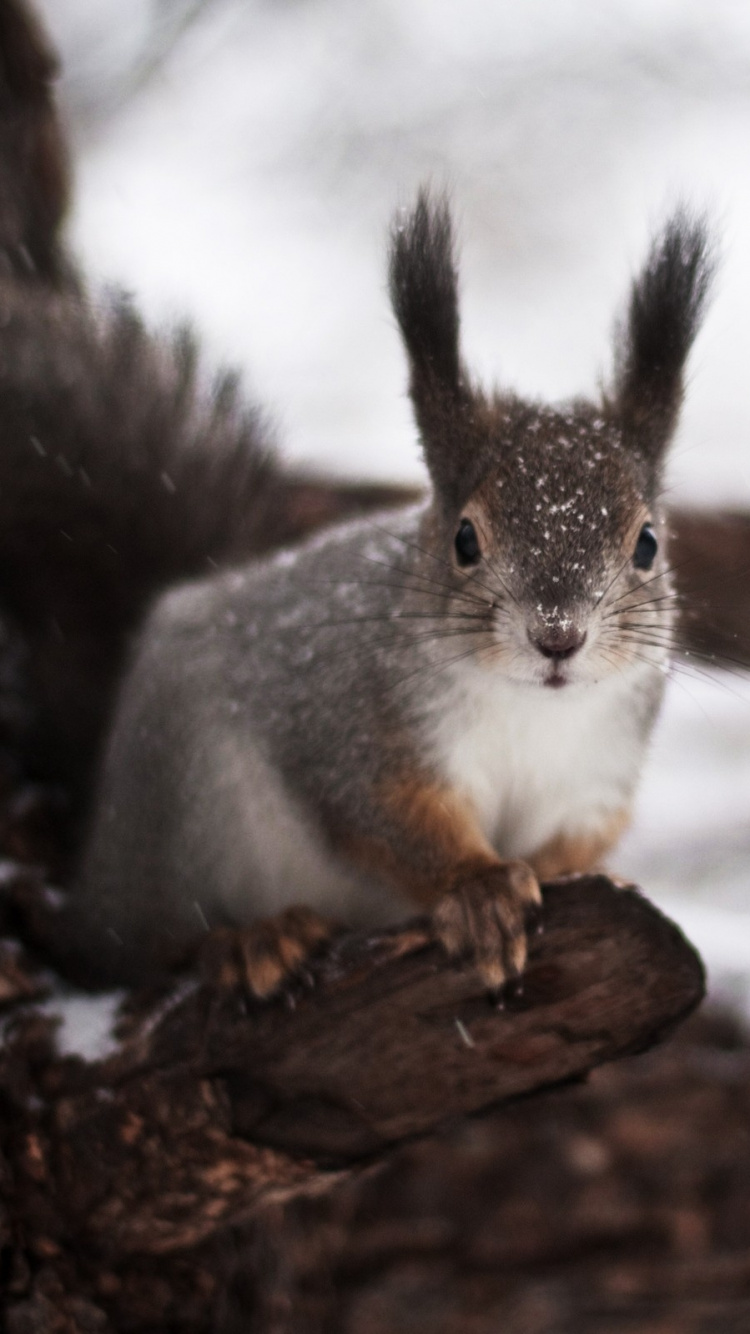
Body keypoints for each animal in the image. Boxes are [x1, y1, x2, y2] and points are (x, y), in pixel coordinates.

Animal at [0, 2, 709, 1003]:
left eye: (647, 543)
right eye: (463, 538)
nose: (559, 636)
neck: (532, 712)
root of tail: (99, 838)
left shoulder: (599, 777)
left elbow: (578, 843)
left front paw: (576, 878)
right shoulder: (351, 725)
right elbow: (387, 820)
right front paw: (479, 889)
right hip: (185, 810)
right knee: (139, 951)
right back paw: (246, 939)